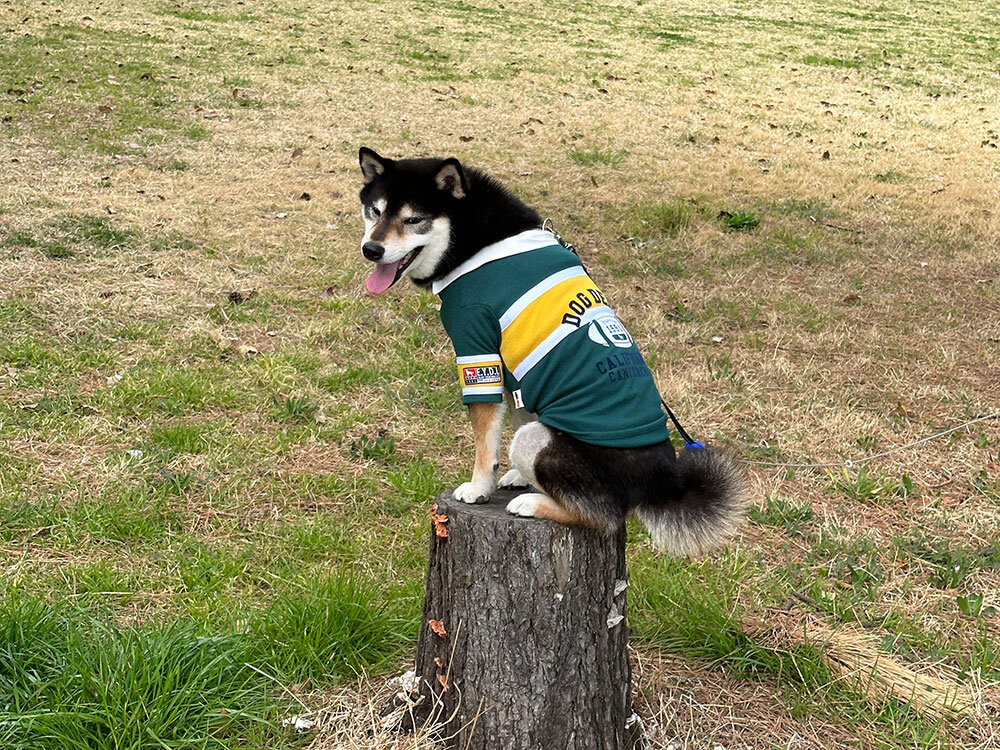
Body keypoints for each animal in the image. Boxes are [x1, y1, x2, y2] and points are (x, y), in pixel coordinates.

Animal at [356, 148, 748, 560]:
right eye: (375, 211)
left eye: (414, 219)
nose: (371, 250)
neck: (475, 237)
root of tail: (662, 481)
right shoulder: (511, 366)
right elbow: (515, 413)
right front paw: (513, 475)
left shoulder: (477, 351)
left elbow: (486, 442)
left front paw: (479, 488)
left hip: (540, 443)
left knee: (605, 515)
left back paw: (535, 503)